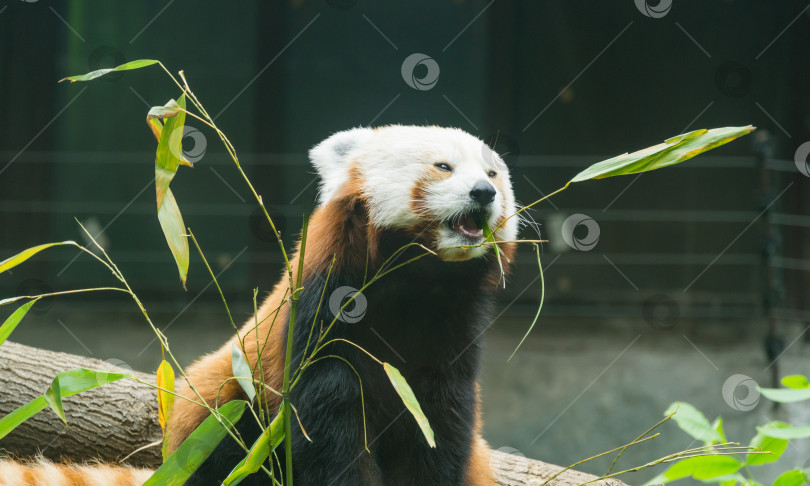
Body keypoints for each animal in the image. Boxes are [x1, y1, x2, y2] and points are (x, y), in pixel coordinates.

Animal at [0, 126, 516, 486]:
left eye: (493, 174)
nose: (484, 193)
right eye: (444, 167)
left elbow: (439, 425)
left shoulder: (452, 335)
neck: (417, 283)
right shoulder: (319, 314)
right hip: (221, 408)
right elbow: (328, 414)